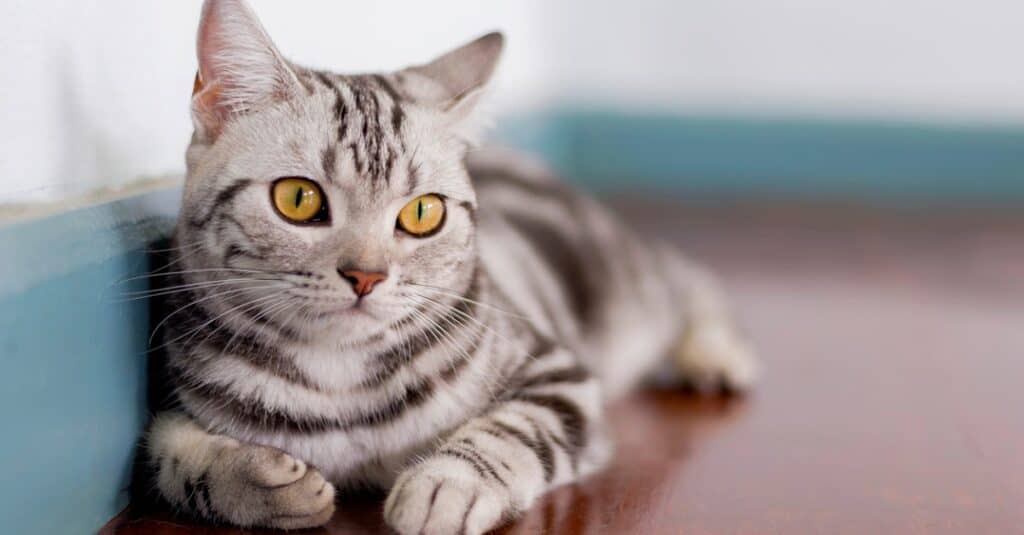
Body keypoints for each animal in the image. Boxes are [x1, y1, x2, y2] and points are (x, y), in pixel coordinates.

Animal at [132, 2, 757, 528]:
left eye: (422, 213)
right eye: (299, 199)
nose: (366, 275)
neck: (337, 384)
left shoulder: (558, 372)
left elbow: (512, 433)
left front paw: (445, 488)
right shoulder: (167, 406)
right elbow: (168, 456)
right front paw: (260, 478)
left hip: (625, 279)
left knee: (689, 278)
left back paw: (714, 355)